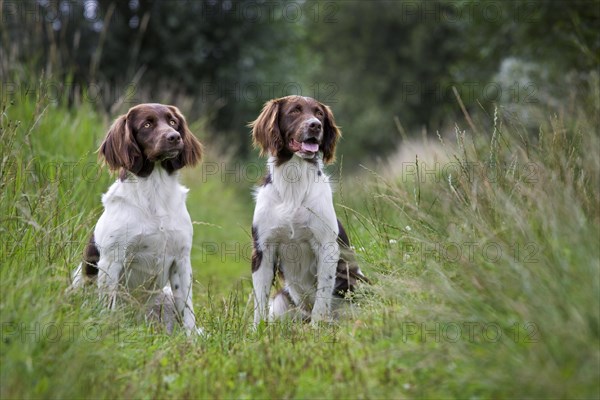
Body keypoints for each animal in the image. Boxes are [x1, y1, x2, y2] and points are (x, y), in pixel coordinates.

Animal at [70, 102, 204, 334]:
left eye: (173, 122)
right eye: (146, 125)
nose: (175, 137)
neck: (155, 191)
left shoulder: (181, 260)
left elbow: (188, 310)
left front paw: (191, 339)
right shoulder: (113, 259)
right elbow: (108, 305)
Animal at [248, 96, 366, 324]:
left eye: (319, 113)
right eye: (294, 111)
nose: (315, 125)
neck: (293, 183)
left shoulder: (327, 247)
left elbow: (322, 298)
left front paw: (317, 327)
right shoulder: (263, 248)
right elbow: (259, 302)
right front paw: (256, 330)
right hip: (281, 300)